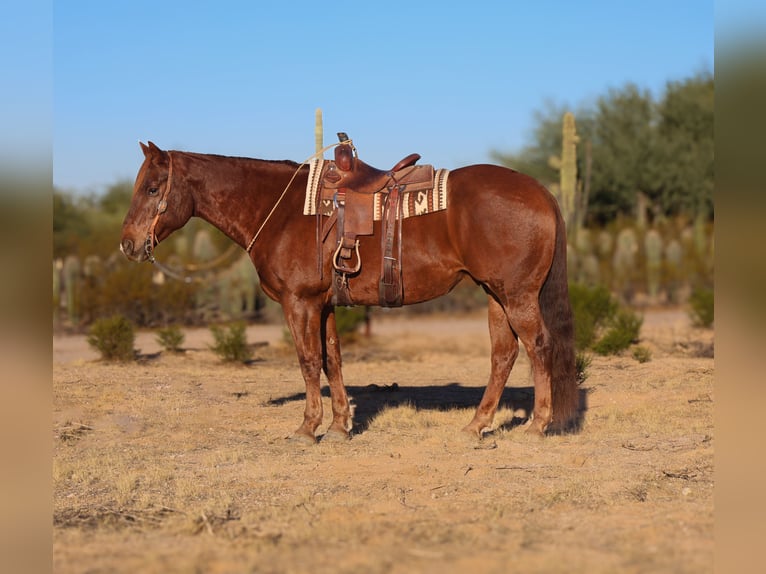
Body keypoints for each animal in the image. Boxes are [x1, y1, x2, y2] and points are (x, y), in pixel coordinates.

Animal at [120, 141, 580, 446]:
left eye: (152, 188)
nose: (128, 244)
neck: (280, 210)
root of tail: (540, 191)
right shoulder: (323, 306)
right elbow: (332, 362)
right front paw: (340, 426)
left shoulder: (300, 303)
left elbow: (308, 362)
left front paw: (307, 428)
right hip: (496, 295)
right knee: (504, 354)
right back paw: (476, 425)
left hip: (516, 295)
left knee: (539, 346)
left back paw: (537, 424)